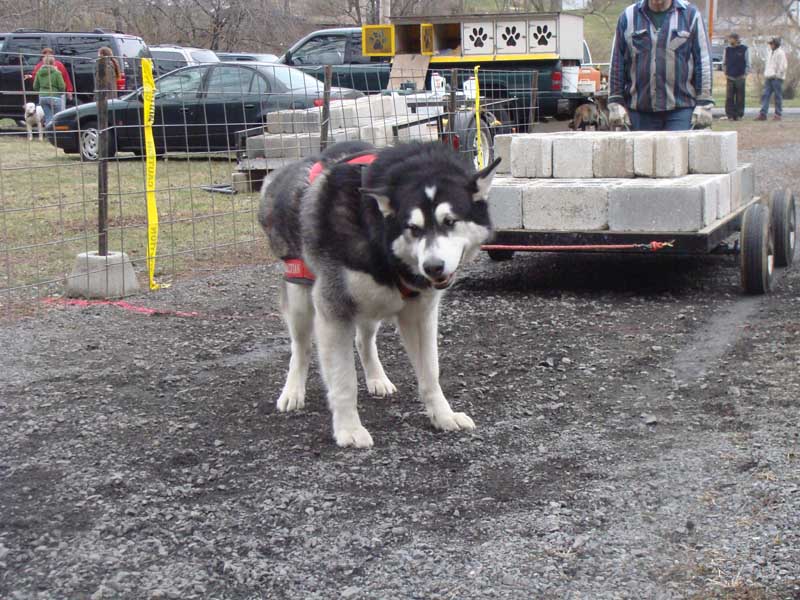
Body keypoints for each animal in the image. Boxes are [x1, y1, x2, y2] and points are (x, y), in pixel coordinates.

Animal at [260, 143, 500, 448]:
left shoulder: (420, 315)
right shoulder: (333, 310)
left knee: (363, 340)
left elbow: (430, 373)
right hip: (302, 299)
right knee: (300, 348)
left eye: (450, 221)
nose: (433, 267)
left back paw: (377, 378)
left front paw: (443, 416)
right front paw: (349, 429)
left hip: (371, 305)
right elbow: (344, 380)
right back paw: (292, 391)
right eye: (413, 228)